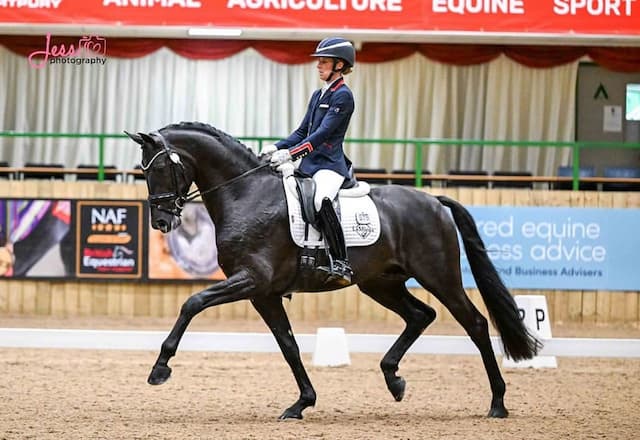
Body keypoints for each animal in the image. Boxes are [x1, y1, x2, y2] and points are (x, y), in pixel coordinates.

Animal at [125, 122, 541, 420]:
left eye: (159, 167)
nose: (162, 221)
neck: (245, 194)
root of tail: (434, 201)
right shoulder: (264, 293)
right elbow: (288, 345)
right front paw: (302, 403)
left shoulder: (252, 280)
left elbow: (193, 303)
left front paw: (160, 369)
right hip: (380, 283)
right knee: (421, 315)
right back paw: (394, 379)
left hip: (439, 276)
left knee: (475, 323)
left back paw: (498, 403)